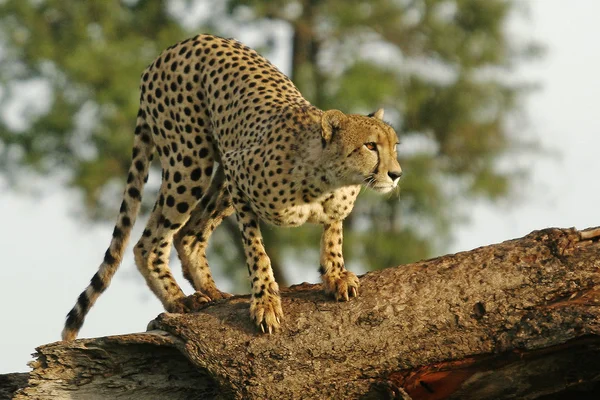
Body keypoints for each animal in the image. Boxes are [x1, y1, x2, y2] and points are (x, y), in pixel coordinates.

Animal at [62, 35, 404, 340]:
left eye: (394, 146)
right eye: (371, 145)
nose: (397, 174)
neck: (327, 181)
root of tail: (173, 48)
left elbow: (333, 238)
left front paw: (335, 275)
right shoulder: (239, 178)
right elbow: (257, 251)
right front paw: (265, 301)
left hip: (216, 175)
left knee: (188, 233)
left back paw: (211, 290)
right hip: (190, 162)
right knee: (149, 241)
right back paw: (179, 299)